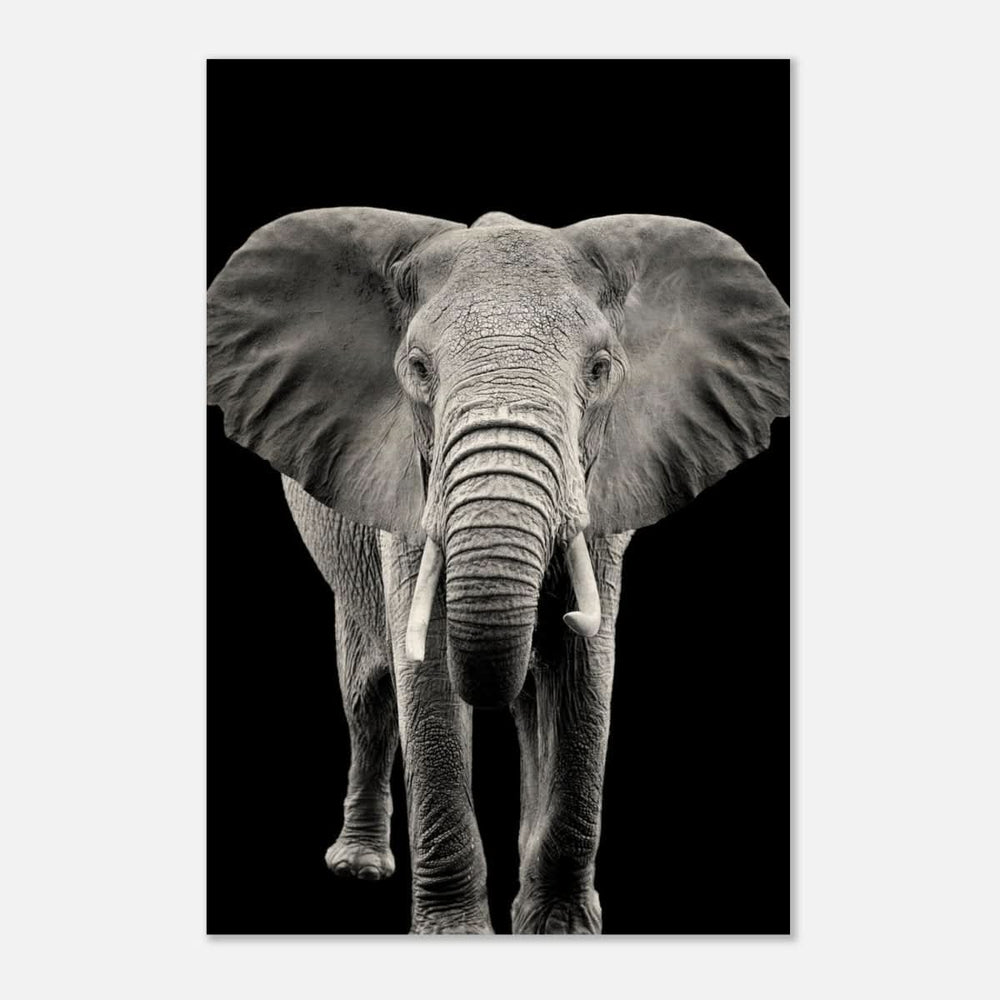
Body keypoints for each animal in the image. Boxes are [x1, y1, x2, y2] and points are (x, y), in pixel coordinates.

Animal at [207, 207, 789, 934]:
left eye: (600, 370)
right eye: (418, 369)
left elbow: (583, 672)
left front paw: (559, 928)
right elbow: (424, 675)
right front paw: (455, 933)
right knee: (369, 692)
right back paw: (359, 867)